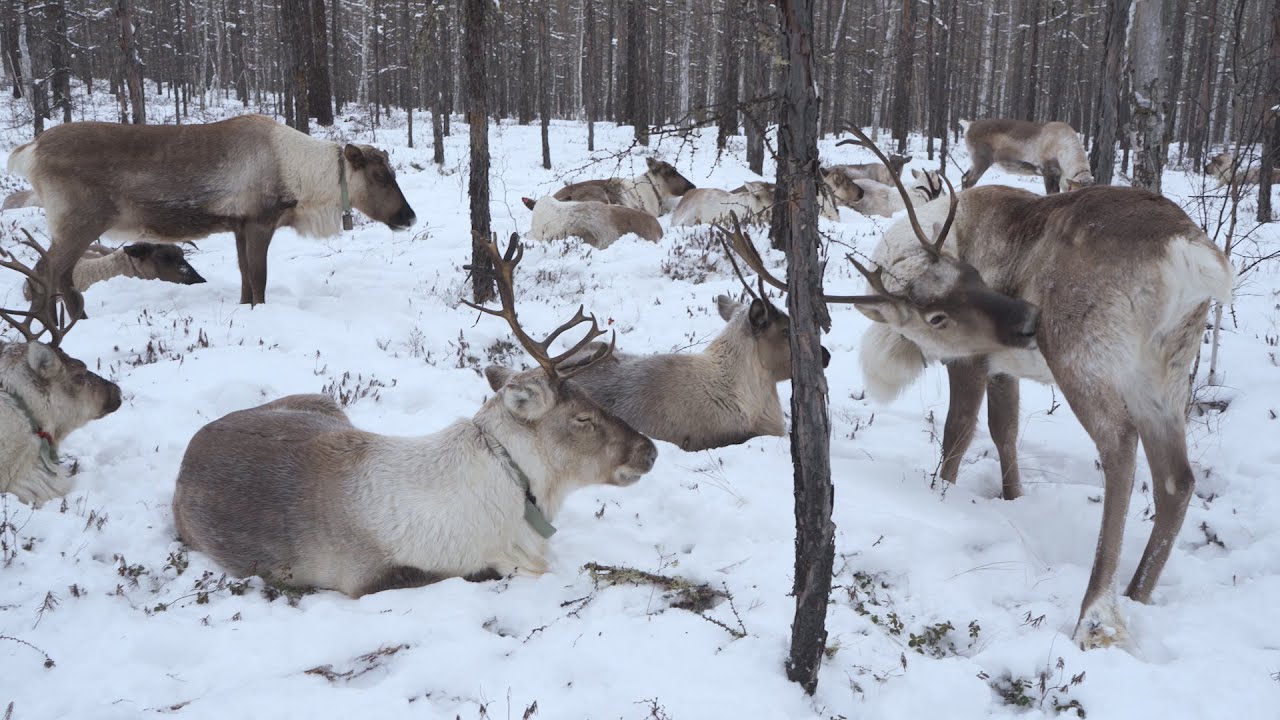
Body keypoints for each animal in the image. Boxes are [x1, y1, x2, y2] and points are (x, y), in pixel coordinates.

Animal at [5, 114, 416, 326]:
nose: (409, 217)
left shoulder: (238, 226)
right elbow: (259, 277)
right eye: (380, 176)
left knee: (51, 270)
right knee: (50, 270)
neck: (304, 181)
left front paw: (244, 308)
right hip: (79, 220)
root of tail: (29, 150)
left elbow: (245, 277)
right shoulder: (260, 221)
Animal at [172, 234, 658, 597]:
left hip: (326, 403)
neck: (515, 491)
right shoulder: (375, 578)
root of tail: (193, 445)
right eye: (582, 418)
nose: (649, 450)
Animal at [732, 126, 1234, 650]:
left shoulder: (970, 360)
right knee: (1178, 479)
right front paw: (1012, 500)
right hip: (1164, 373)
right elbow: (1004, 430)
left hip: (1086, 361)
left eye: (973, 275)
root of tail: (1189, 253)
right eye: (942, 307)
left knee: (1119, 449)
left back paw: (1096, 614)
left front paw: (942, 495)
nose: (1028, 319)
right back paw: (1138, 594)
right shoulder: (1002, 368)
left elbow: (958, 432)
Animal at [959, 118, 1093, 194]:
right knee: (969, 181)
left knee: (964, 177)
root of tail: (969, 125)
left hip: (974, 162)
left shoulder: (1063, 179)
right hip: (981, 160)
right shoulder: (1048, 171)